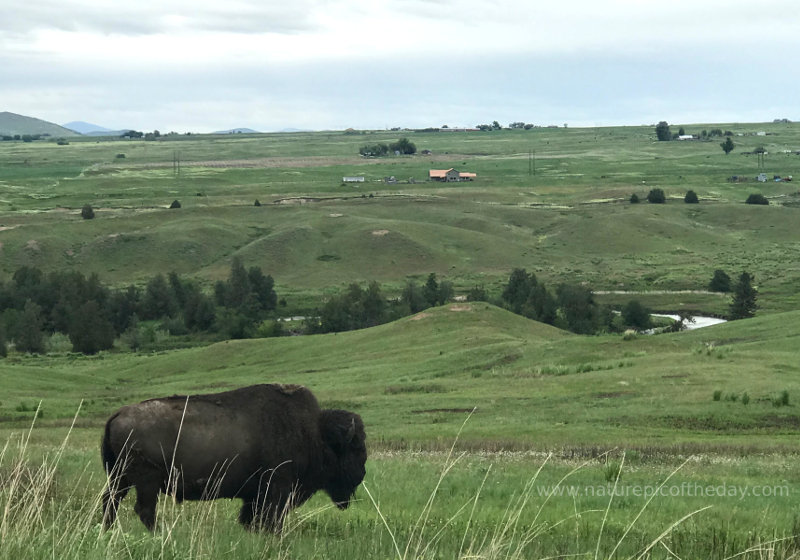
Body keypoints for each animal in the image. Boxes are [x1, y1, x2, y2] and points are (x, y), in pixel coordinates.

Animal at [97, 382, 368, 532]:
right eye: (355, 447)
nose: (362, 472)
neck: (316, 433)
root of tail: (117, 414)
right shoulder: (277, 490)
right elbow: (271, 520)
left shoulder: (255, 496)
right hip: (146, 481)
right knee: (144, 510)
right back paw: (161, 533)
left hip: (120, 478)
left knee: (110, 502)